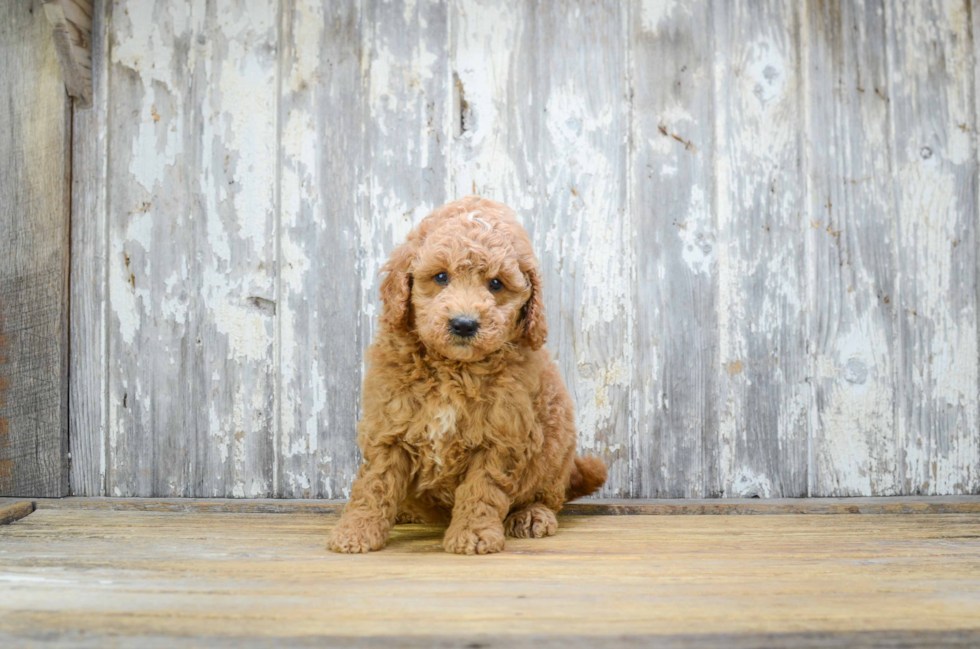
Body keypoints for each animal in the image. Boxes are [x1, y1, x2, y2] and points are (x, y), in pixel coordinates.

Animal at [330, 195, 604, 556]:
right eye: (440, 277)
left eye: (496, 283)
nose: (463, 324)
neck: (453, 369)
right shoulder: (389, 426)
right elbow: (375, 484)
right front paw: (356, 531)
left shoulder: (501, 437)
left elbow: (481, 489)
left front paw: (473, 534)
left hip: (557, 446)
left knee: (549, 495)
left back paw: (532, 515)